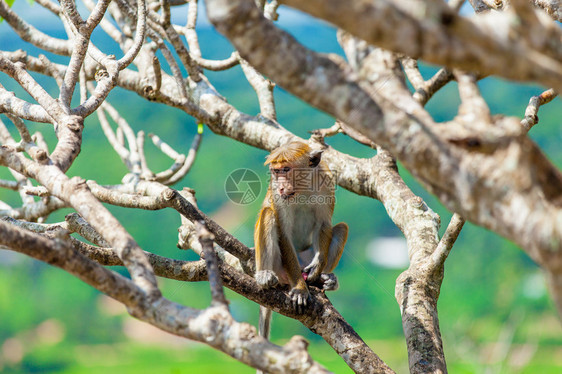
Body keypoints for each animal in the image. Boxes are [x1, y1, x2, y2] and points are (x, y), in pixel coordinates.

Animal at [253, 140, 346, 338]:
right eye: (276, 171)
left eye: (286, 169)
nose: (281, 185)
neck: (302, 187)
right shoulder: (278, 194)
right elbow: (284, 234)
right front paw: (300, 288)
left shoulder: (326, 182)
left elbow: (324, 224)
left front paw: (318, 266)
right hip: (279, 268)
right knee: (268, 214)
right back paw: (264, 276)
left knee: (342, 228)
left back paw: (324, 279)